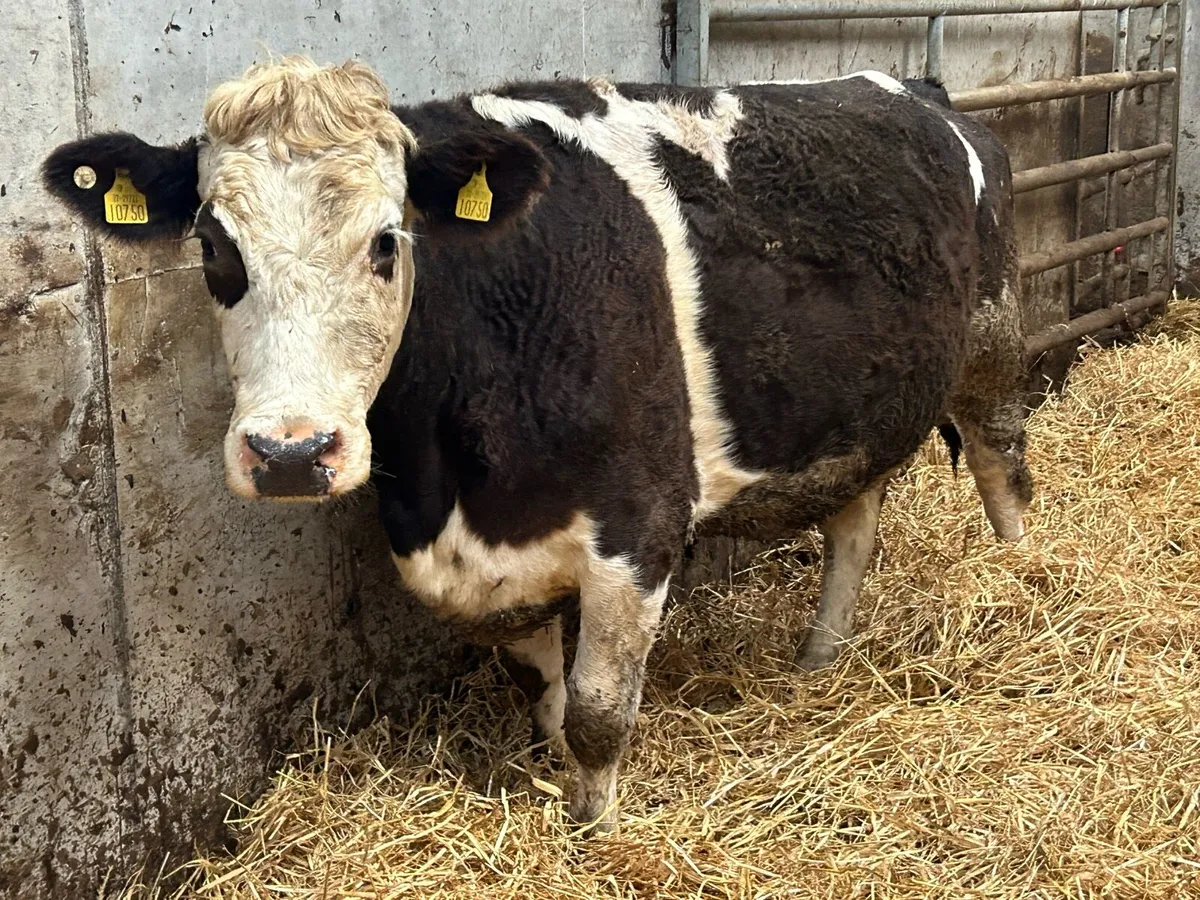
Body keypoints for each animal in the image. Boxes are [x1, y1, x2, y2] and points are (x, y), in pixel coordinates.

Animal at [42, 57, 1033, 833]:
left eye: (387, 241)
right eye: (215, 247)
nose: (291, 453)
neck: (452, 486)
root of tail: (915, 87)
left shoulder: (639, 527)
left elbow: (598, 712)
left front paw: (594, 831)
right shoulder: (491, 568)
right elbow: (544, 699)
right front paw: (551, 785)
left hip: (993, 345)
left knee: (1004, 479)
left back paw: (1025, 592)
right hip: (861, 410)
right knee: (854, 524)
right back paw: (821, 657)